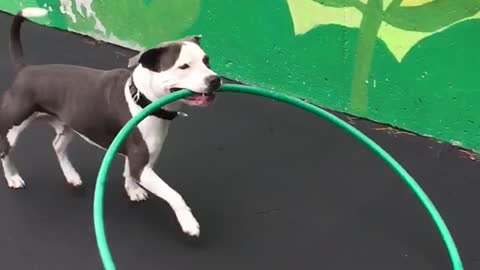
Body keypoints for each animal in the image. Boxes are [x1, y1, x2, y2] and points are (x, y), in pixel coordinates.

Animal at [0, 7, 221, 236]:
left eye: (207, 61)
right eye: (183, 66)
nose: (215, 79)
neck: (141, 97)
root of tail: (25, 70)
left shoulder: (140, 157)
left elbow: (129, 173)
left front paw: (132, 190)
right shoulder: (141, 164)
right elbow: (173, 194)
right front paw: (188, 221)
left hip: (71, 124)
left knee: (58, 145)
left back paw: (71, 175)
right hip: (12, 126)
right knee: (5, 152)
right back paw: (13, 177)